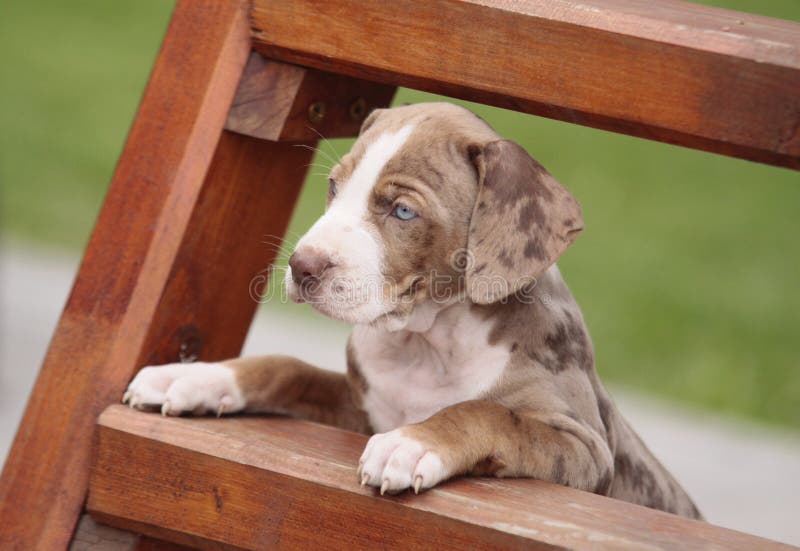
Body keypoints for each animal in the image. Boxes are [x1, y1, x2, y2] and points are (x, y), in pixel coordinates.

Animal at [123, 103, 700, 520]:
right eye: (334, 187)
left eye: (402, 210)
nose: (302, 266)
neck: (428, 342)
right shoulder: (363, 407)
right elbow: (287, 366)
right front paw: (196, 377)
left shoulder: (584, 448)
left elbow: (487, 413)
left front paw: (412, 443)